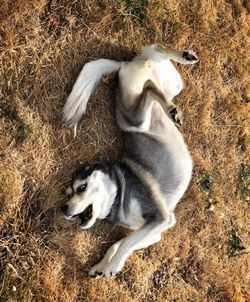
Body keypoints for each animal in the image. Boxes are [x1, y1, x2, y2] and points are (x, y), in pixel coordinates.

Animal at [61, 44, 198, 276]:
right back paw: (185, 58)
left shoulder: (161, 218)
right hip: (173, 84)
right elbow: (119, 244)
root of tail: (124, 65)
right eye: (67, 193)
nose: (64, 209)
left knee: (150, 86)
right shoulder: (155, 230)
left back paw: (173, 105)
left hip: (136, 119)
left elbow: (124, 244)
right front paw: (101, 267)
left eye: (81, 188)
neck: (119, 193)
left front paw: (112, 267)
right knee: (157, 54)